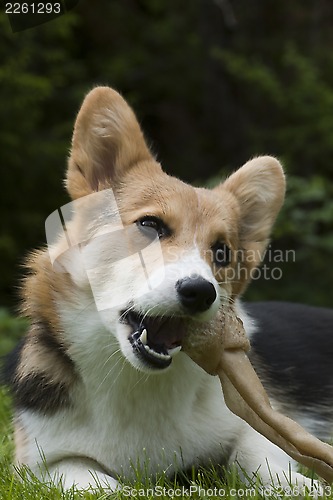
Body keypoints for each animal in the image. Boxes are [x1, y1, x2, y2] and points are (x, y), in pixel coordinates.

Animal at [3, 87, 332, 492]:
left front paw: (304, 486)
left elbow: (256, 456)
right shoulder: (41, 465)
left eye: (221, 252)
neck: (139, 380)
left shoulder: (261, 424)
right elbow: (100, 483)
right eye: (150, 224)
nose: (200, 292)